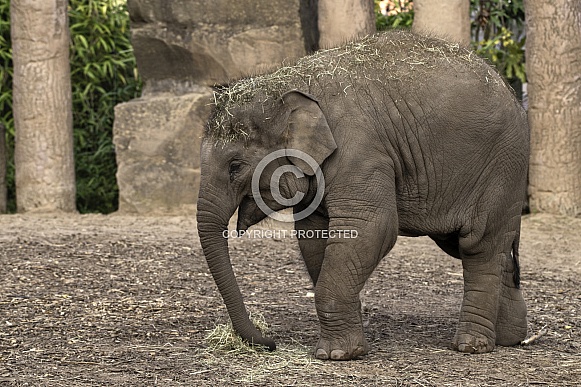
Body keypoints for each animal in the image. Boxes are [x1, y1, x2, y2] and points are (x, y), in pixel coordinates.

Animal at [197, 29, 528, 360]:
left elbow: (371, 228)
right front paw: (349, 346)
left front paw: (336, 355)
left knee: (478, 245)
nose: (271, 342)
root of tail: (510, 92)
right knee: (480, 248)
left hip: (502, 168)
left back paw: (471, 346)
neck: (289, 82)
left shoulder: (359, 152)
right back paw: (510, 339)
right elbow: (314, 237)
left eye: (235, 167)